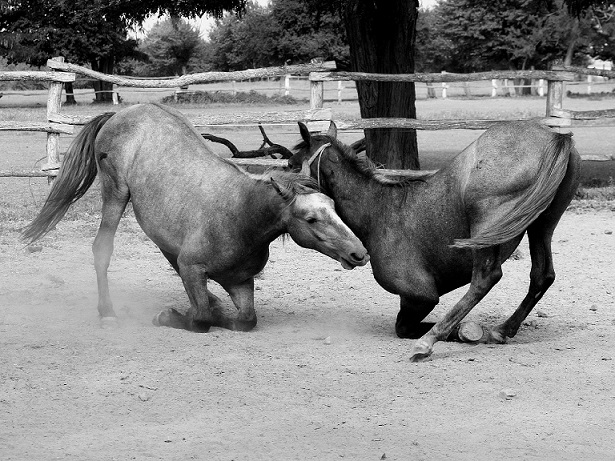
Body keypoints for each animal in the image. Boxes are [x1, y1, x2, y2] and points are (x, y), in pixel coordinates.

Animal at [22, 102, 370, 330]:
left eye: (334, 207)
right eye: (310, 219)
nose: (360, 253)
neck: (241, 216)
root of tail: (121, 113)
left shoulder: (241, 282)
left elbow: (246, 320)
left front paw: (215, 309)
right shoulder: (193, 268)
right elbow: (201, 319)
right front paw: (174, 316)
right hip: (115, 194)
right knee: (102, 249)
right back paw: (107, 312)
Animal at [292, 120, 580, 362]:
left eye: (293, 165)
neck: (378, 210)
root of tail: (555, 136)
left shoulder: (419, 297)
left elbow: (404, 327)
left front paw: (457, 331)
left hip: (486, 222)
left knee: (485, 279)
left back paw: (428, 343)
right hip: (542, 225)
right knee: (542, 276)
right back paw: (501, 330)